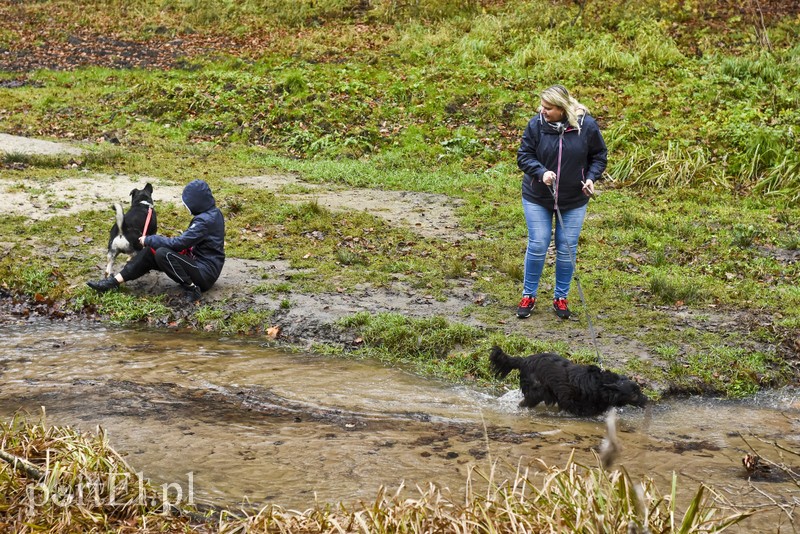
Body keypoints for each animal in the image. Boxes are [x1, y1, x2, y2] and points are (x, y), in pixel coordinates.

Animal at [488, 348, 648, 418]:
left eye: (639, 390)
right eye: (634, 395)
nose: (647, 400)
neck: (601, 385)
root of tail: (523, 360)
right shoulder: (575, 405)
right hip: (536, 392)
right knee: (523, 404)